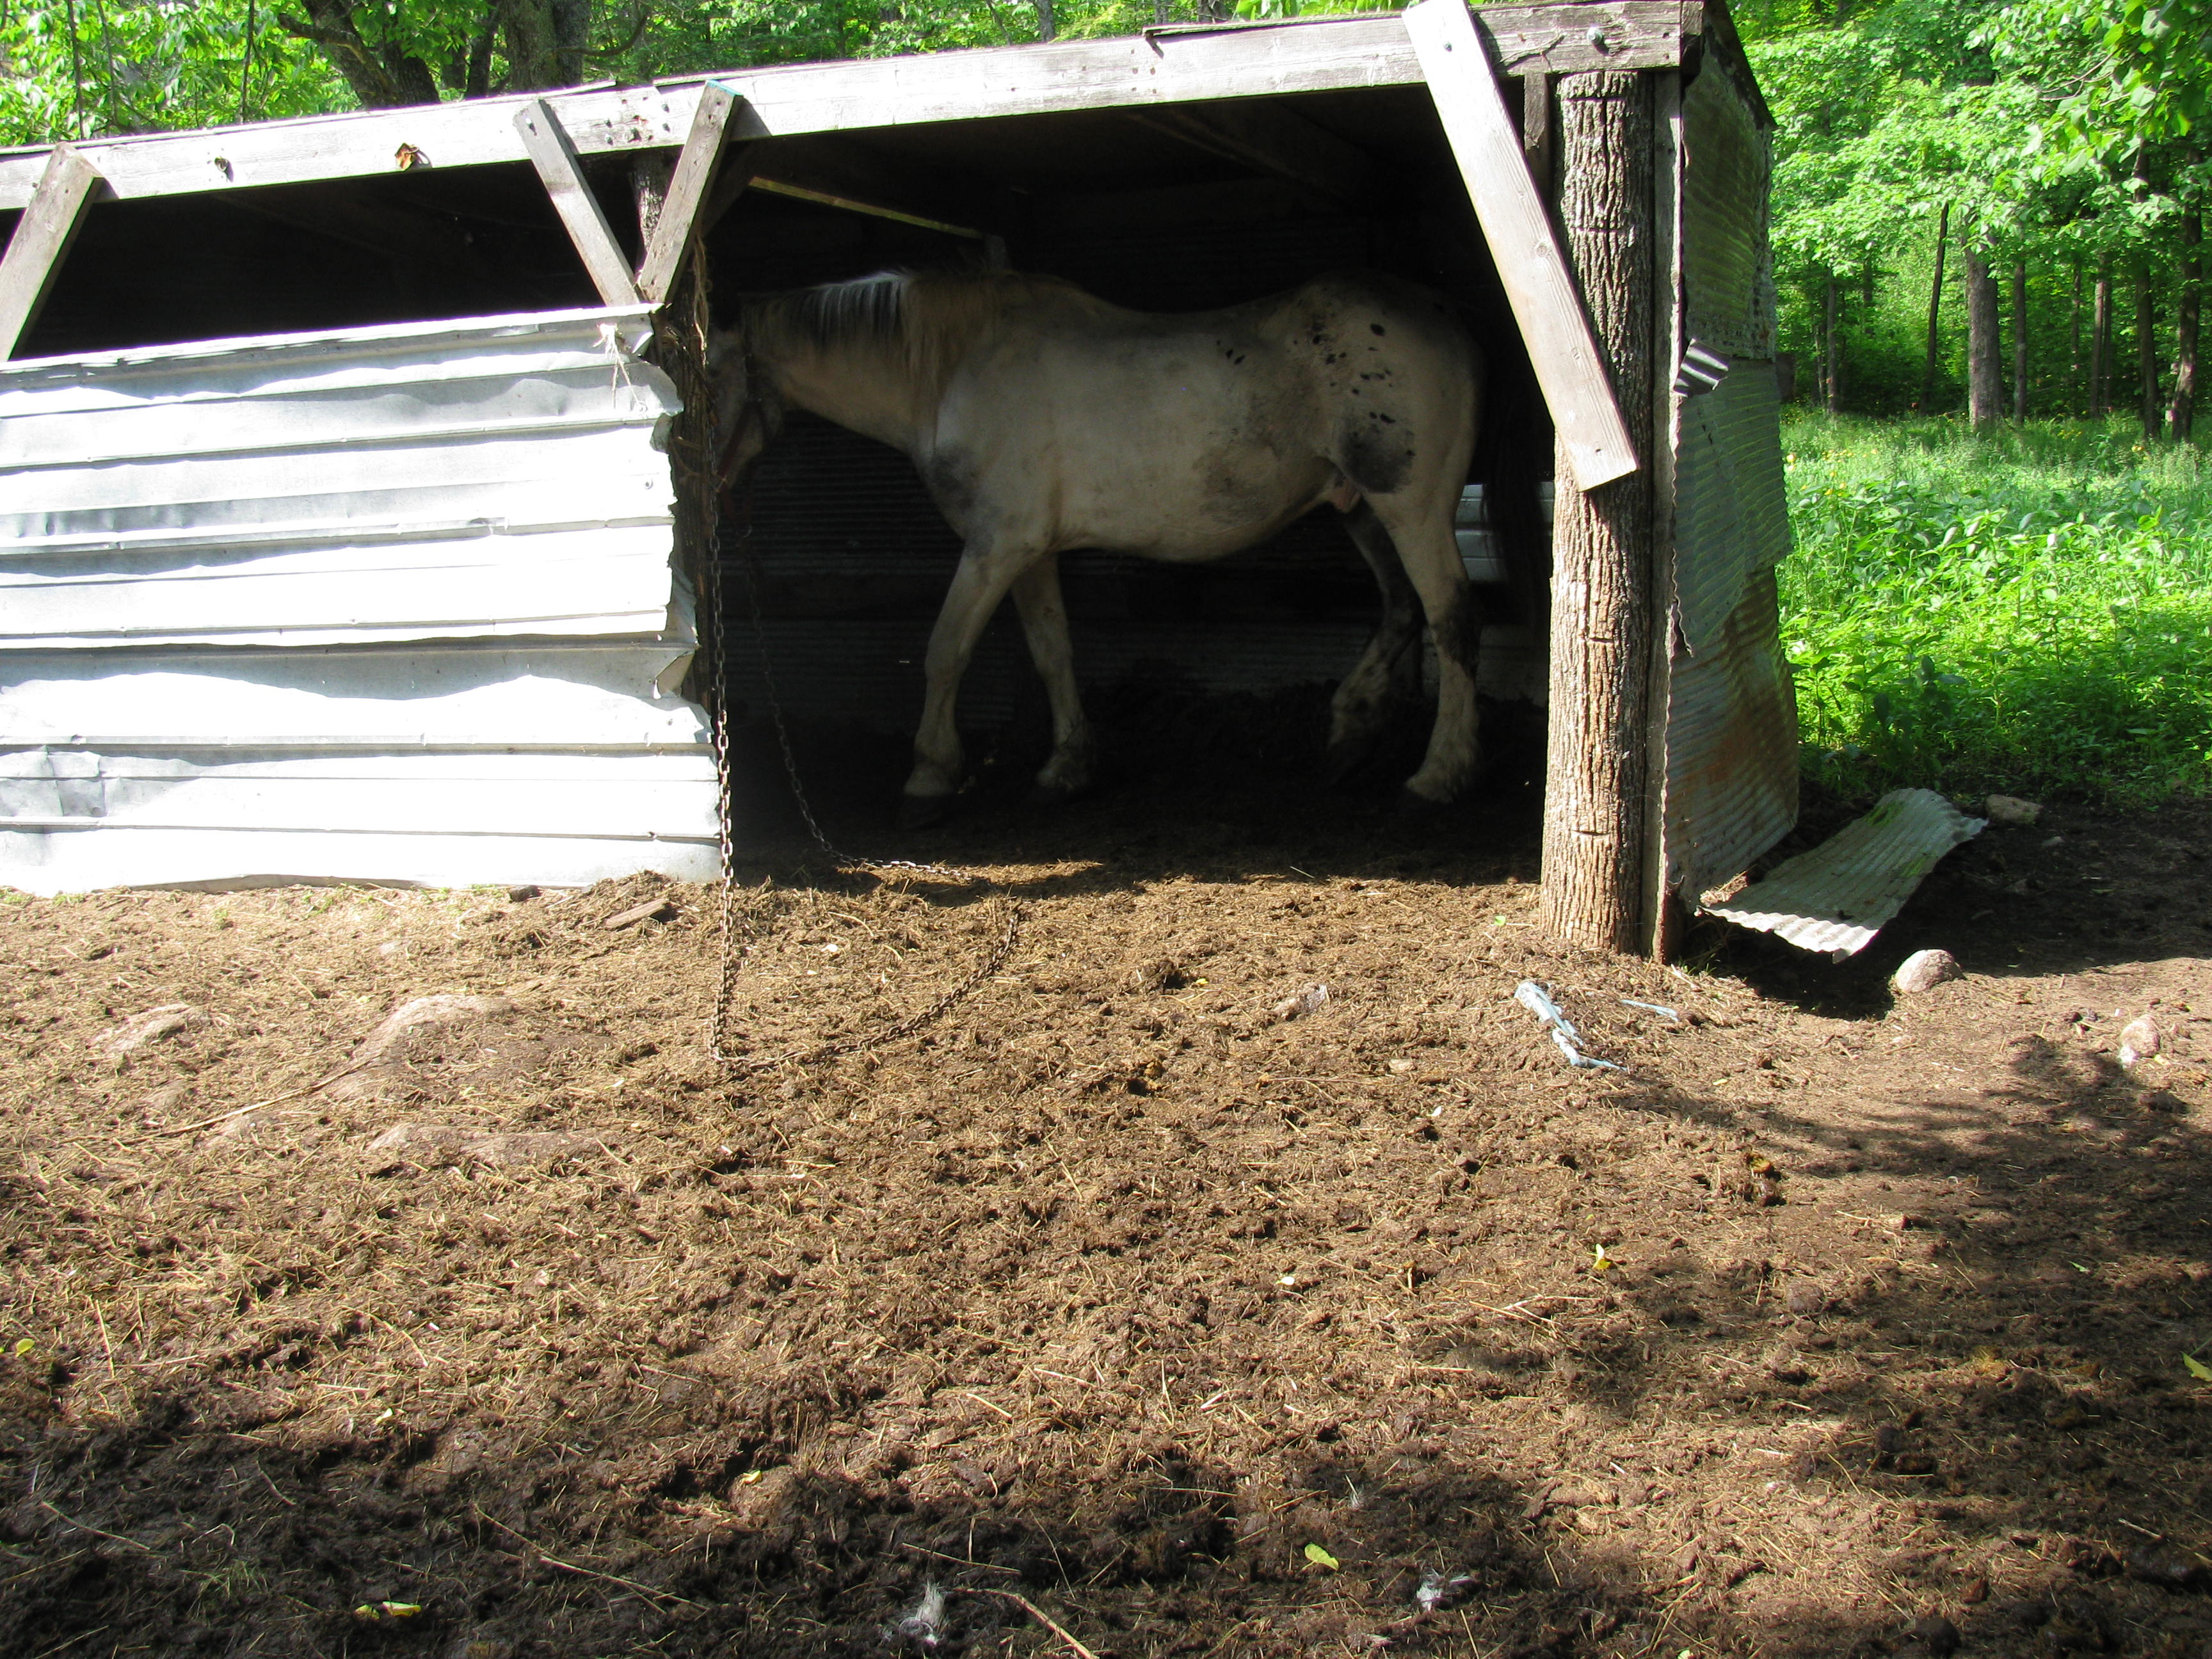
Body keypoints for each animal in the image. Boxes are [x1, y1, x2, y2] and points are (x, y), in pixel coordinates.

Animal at [706, 268, 1486, 826]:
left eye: (702, 372)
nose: (702, 485)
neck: (954, 371)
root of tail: (1446, 316)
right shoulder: (1031, 552)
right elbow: (1053, 651)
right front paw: (1066, 771)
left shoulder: (995, 545)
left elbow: (945, 650)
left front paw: (929, 779)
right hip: (1359, 508)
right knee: (1400, 607)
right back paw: (1350, 738)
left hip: (1412, 506)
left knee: (1451, 620)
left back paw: (1435, 778)